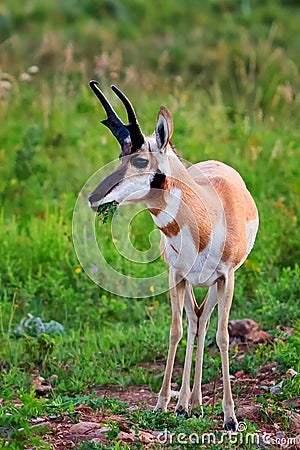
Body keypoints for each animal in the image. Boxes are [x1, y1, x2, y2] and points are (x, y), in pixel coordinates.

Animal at [88, 80, 258, 428]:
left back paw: (197, 404)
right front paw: (163, 404)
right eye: (121, 155)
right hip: (194, 283)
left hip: (214, 285)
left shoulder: (227, 278)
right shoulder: (176, 276)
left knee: (204, 322)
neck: (207, 219)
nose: (94, 197)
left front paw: (230, 417)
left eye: (141, 161)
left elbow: (223, 336)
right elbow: (174, 331)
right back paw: (188, 404)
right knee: (195, 321)